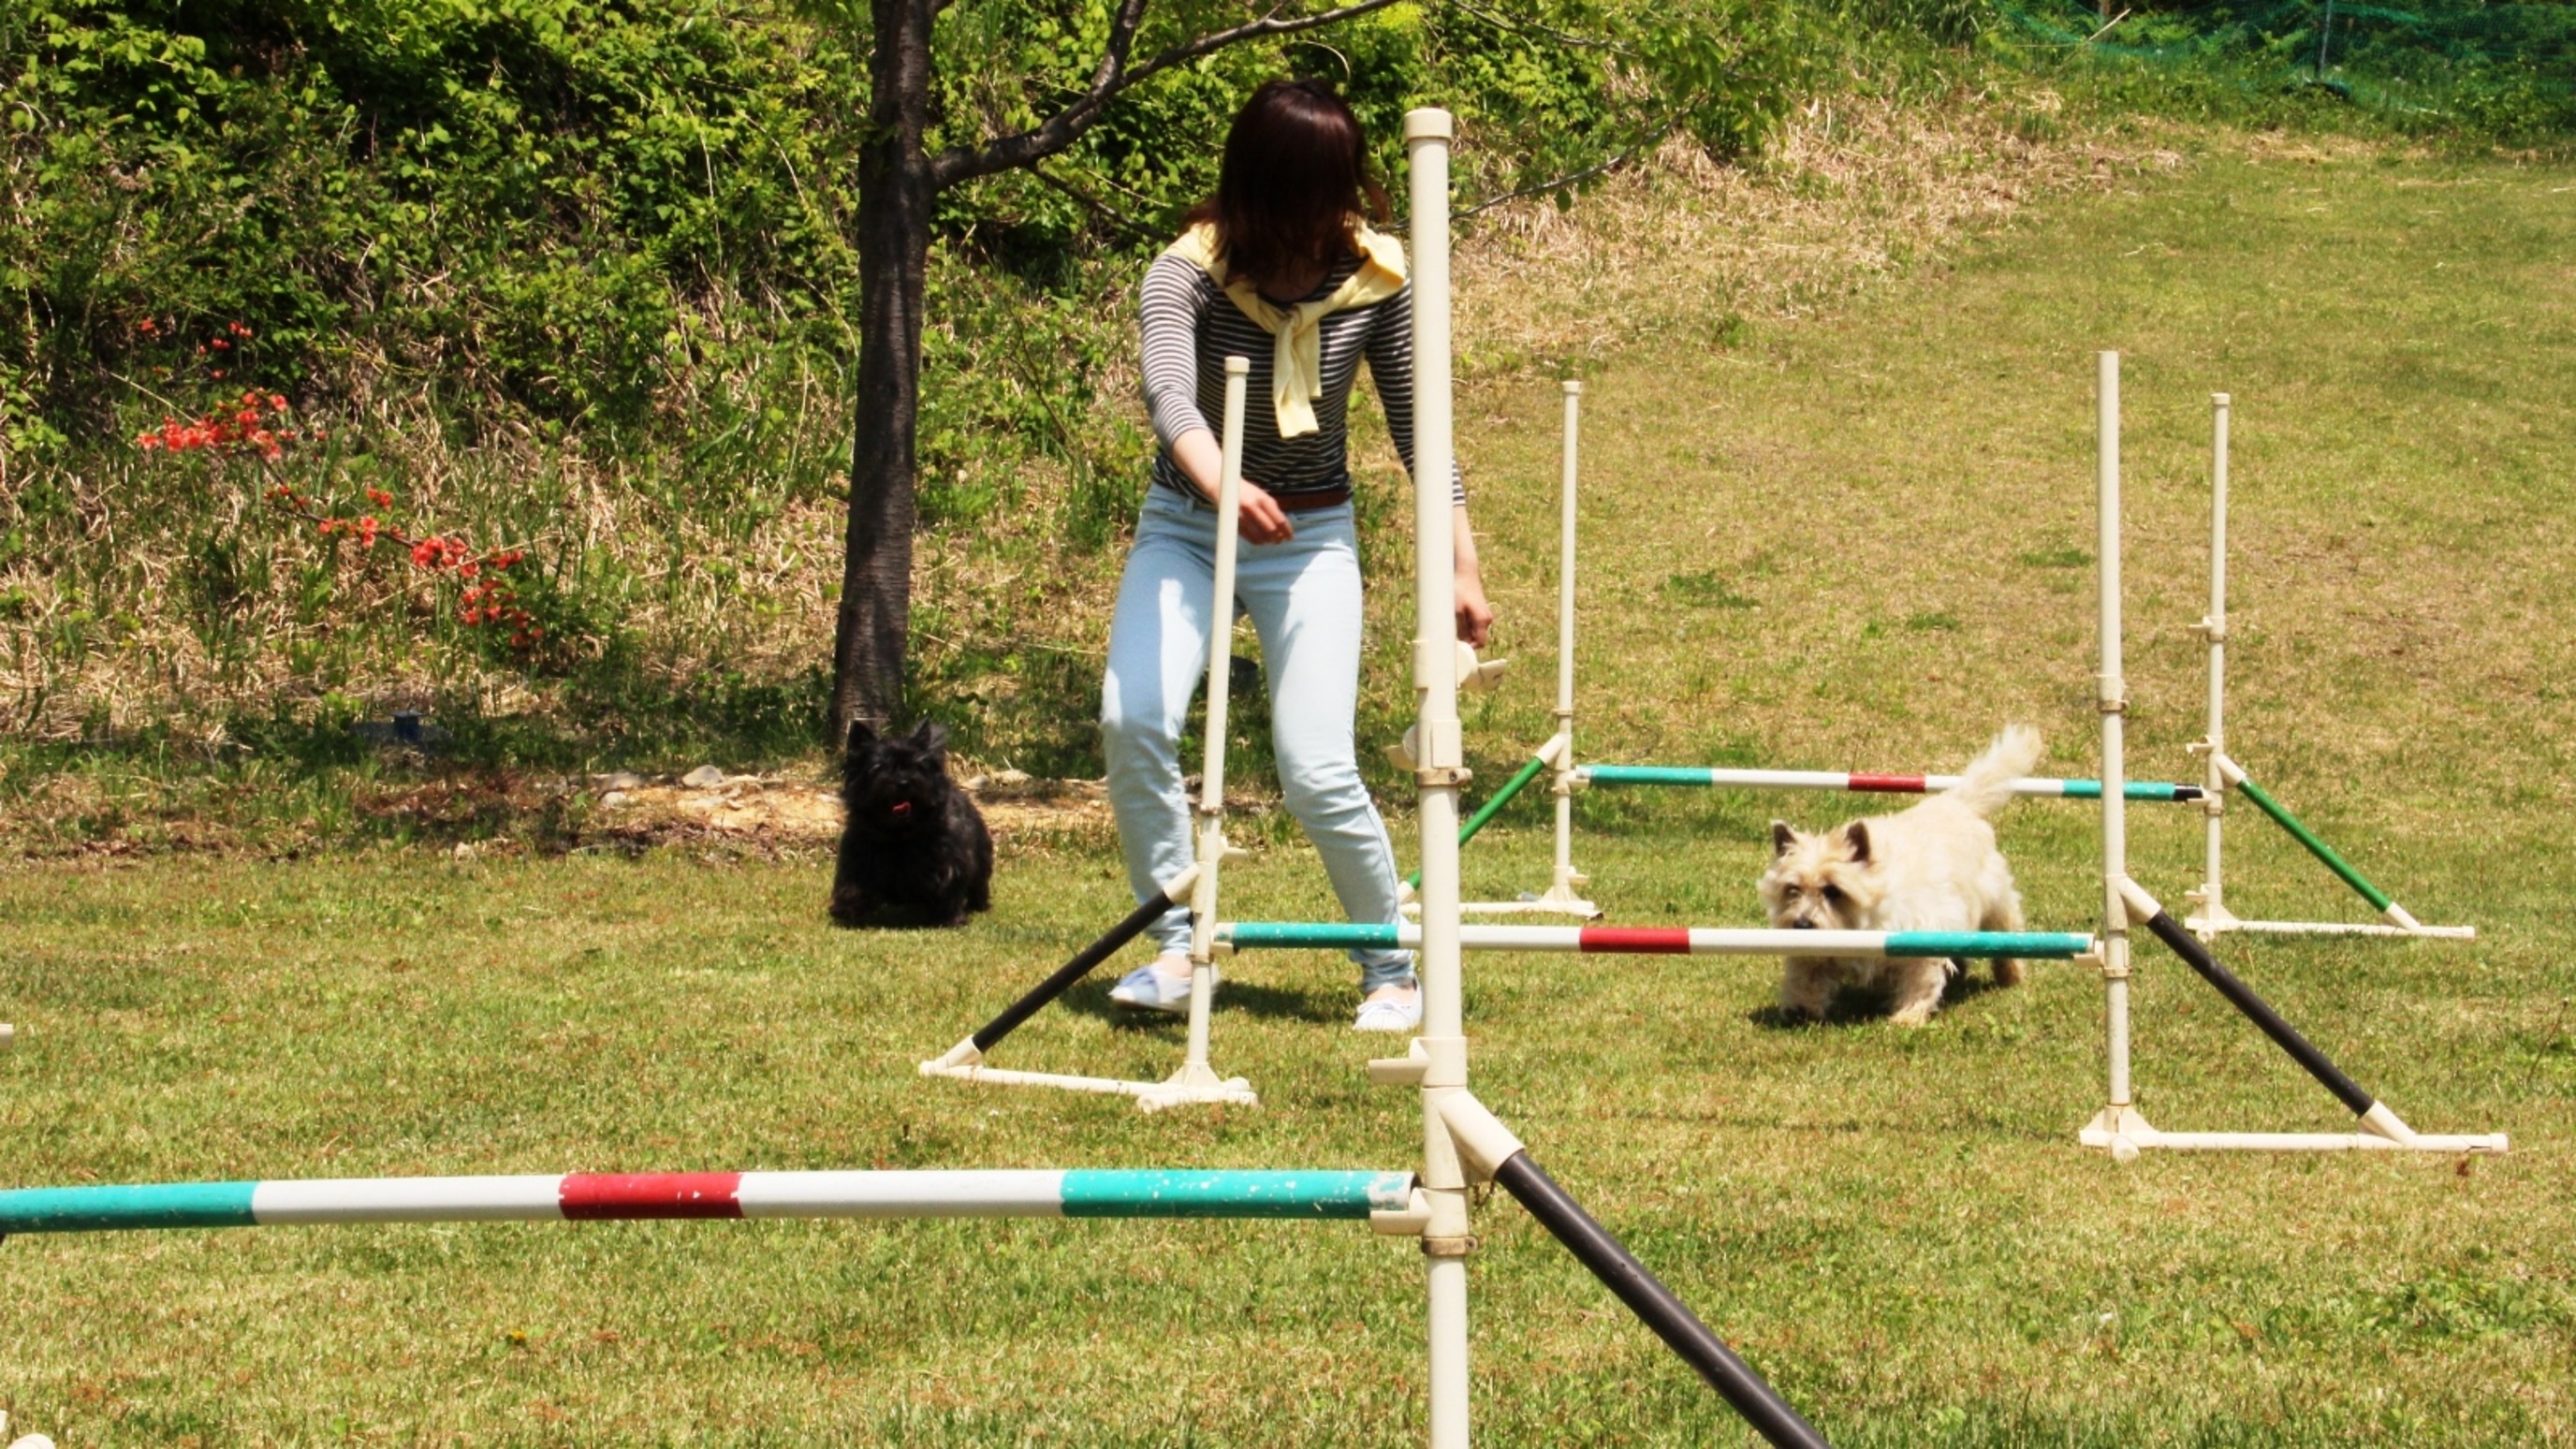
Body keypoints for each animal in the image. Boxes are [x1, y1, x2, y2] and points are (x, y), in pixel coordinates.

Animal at [829, 711, 988, 923]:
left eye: (917, 766)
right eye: (879, 767)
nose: (903, 782)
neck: (899, 834)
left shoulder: (947, 862)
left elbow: (947, 886)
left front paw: (950, 916)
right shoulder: (859, 856)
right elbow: (853, 884)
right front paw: (847, 908)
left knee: (979, 883)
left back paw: (978, 904)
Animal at [1762, 716, 2040, 1016]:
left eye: (1833, 890)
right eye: (1793, 889)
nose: (1801, 924)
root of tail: (1956, 802)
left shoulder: (1919, 936)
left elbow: (1920, 979)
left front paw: (1908, 1015)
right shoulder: (1815, 952)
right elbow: (1806, 976)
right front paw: (1800, 1009)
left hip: (1994, 898)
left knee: (2008, 928)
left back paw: (2011, 972)